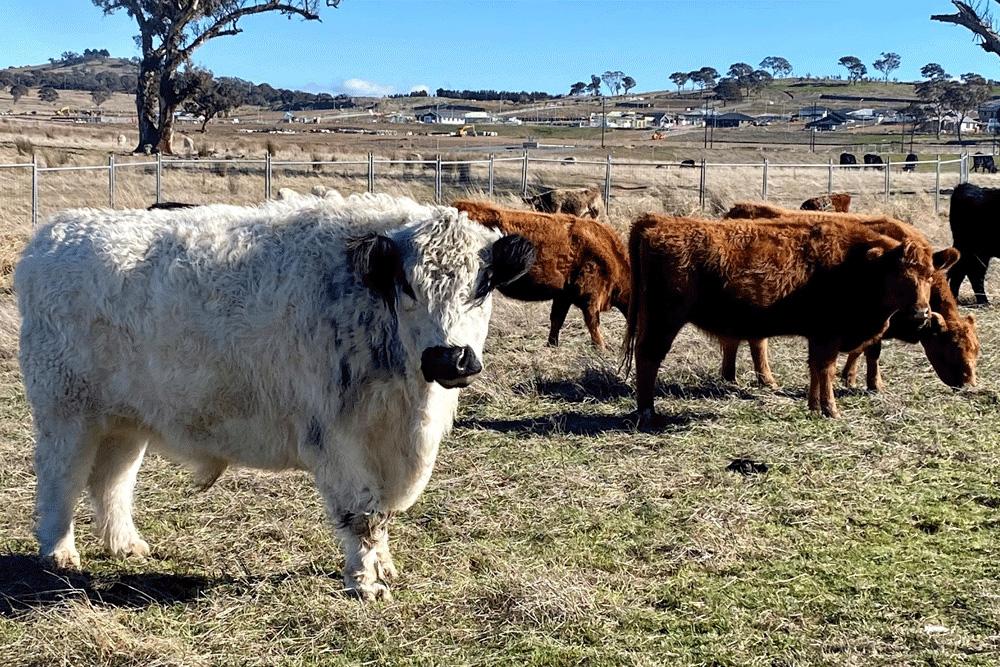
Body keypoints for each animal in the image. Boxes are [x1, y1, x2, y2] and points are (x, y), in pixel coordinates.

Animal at [15, 192, 536, 600]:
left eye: (484, 285)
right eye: (407, 284)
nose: (451, 358)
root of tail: (55, 234)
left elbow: (381, 514)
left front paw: (384, 567)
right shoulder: (339, 441)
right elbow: (362, 515)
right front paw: (366, 583)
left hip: (126, 420)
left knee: (111, 480)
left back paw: (125, 544)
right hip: (64, 412)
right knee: (61, 479)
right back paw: (59, 553)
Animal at [456, 200, 628, 350]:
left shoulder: (563, 296)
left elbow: (557, 319)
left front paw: (552, 344)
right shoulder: (590, 297)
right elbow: (593, 322)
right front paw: (602, 347)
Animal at [624, 214, 952, 420]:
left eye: (929, 276)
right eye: (899, 277)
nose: (921, 312)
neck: (860, 263)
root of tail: (658, 223)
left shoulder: (818, 337)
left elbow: (815, 369)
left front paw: (814, 406)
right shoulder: (829, 336)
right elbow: (826, 369)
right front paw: (832, 410)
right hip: (664, 320)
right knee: (648, 356)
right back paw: (648, 411)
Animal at [720, 204, 976, 392]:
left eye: (975, 349)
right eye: (952, 346)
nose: (968, 382)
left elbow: (860, 350)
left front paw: (849, 377)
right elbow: (872, 352)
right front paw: (874, 384)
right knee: (747, 342)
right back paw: (750, 379)